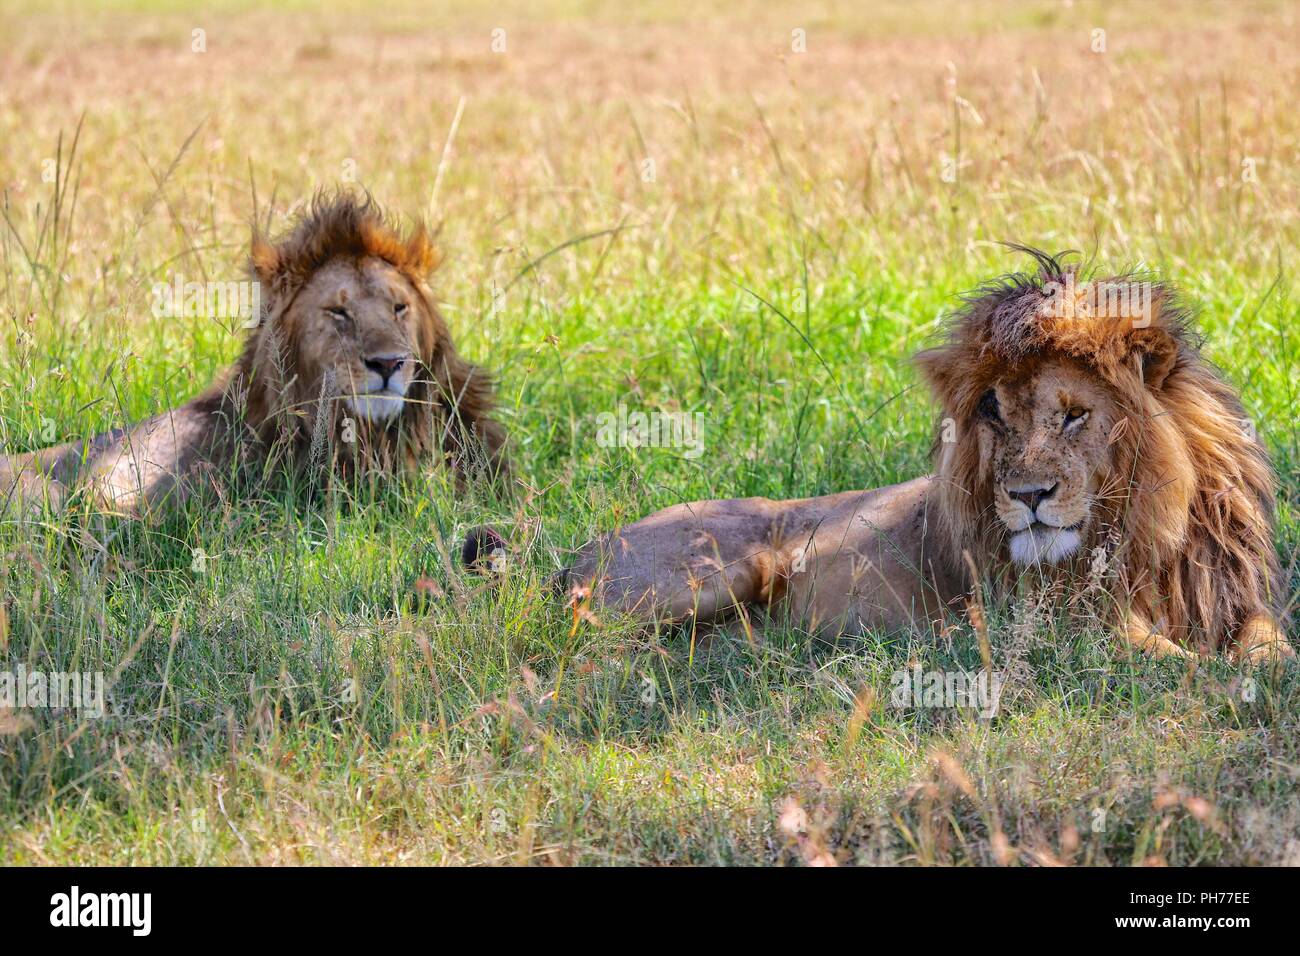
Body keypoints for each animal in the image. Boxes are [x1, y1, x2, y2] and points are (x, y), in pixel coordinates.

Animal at [551, 250, 1292, 663]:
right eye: (995, 415)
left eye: (1074, 414)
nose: (1027, 496)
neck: (1145, 531)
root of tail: (582, 551)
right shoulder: (1065, 625)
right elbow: (1183, 664)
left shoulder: (1240, 599)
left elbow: (1273, 652)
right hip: (712, 571)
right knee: (589, 635)